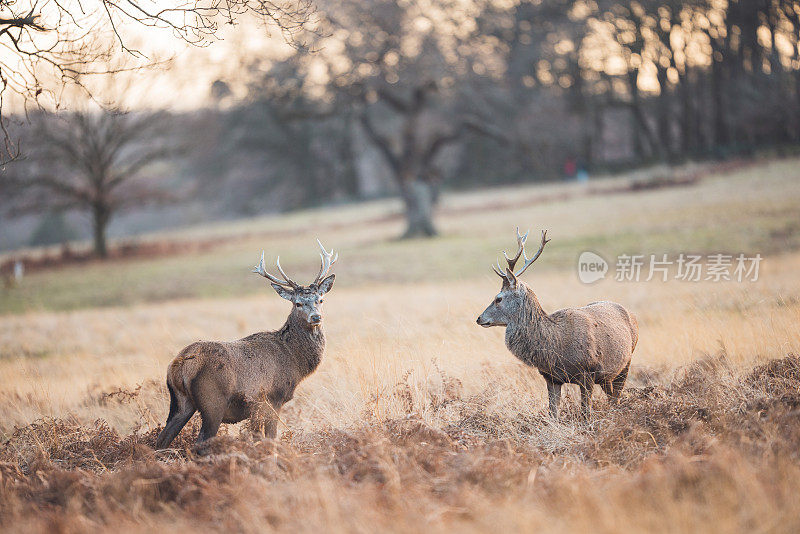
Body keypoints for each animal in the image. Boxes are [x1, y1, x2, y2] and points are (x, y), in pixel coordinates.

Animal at [156, 241, 338, 450]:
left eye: (320, 299)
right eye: (298, 303)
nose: (316, 317)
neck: (294, 360)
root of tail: (180, 364)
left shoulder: (257, 407)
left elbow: (257, 437)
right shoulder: (272, 398)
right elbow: (270, 437)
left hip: (180, 402)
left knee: (161, 440)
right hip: (213, 401)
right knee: (200, 442)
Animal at [476, 228, 636, 420]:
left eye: (498, 298)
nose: (479, 318)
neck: (555, 346)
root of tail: (630, 313)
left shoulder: (588, 372)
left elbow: (585, 413)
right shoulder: (551, 377)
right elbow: (553, 412)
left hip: (626, 362)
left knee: (616, 397)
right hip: (608, 376)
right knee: (612, 396)